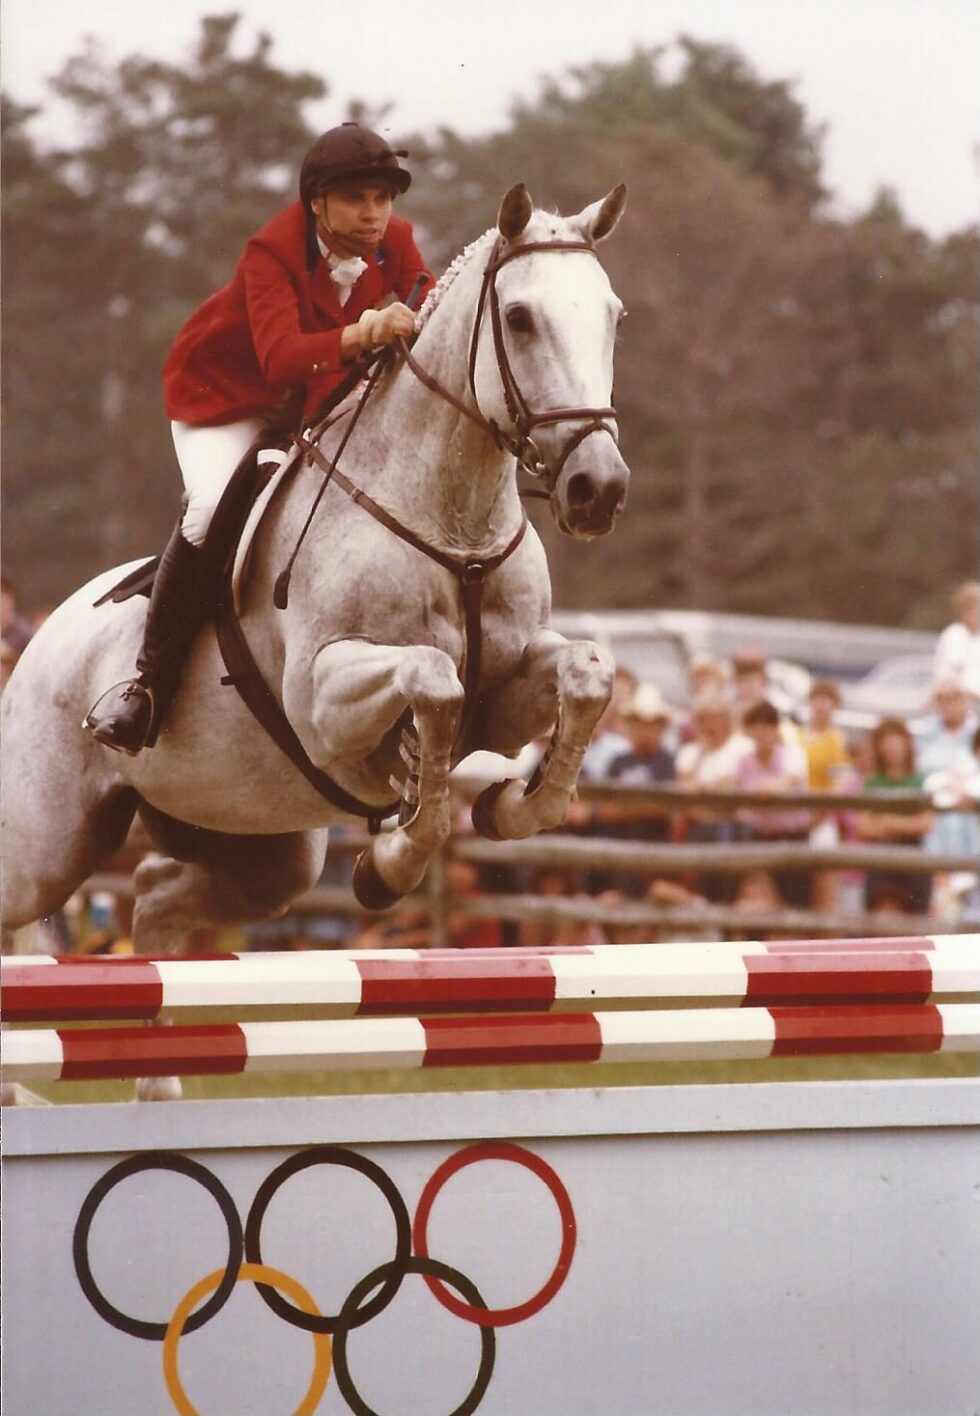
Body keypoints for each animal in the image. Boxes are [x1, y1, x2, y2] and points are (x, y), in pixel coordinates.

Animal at [1, 184, 630, 968]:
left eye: (613, 316)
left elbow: (587, 672)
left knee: (156, 893)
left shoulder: (508, 690)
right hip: (41, 849)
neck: (453, 523)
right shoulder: (320, 702)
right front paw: (389, 862)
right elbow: (432, 680)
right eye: (519, 318)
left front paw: (510, 803)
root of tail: (41, 641)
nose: (598, 488)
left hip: (254, 839)